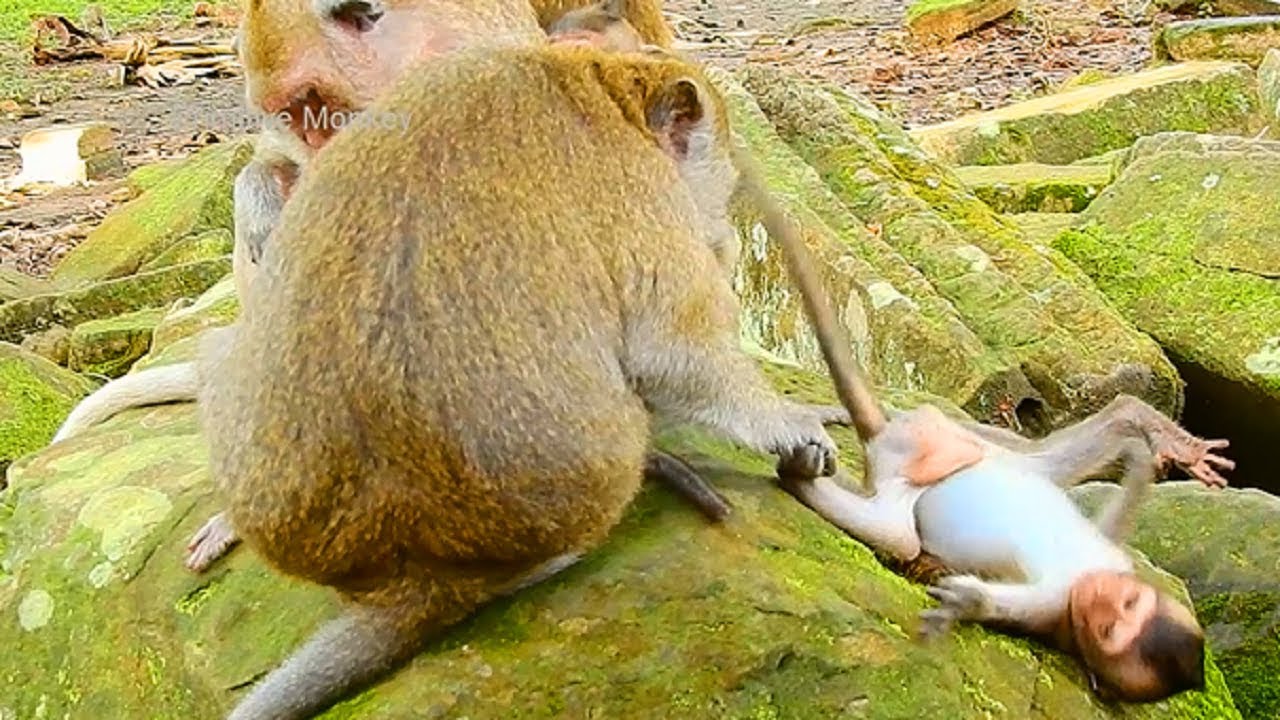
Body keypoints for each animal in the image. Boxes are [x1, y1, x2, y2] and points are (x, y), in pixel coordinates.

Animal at [187, 44, 850, 719]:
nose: (721, 229)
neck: (595, 85)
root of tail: (425, 576)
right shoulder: (644, 192)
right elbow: (673, 352)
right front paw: (789, 425)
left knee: (214, 350)